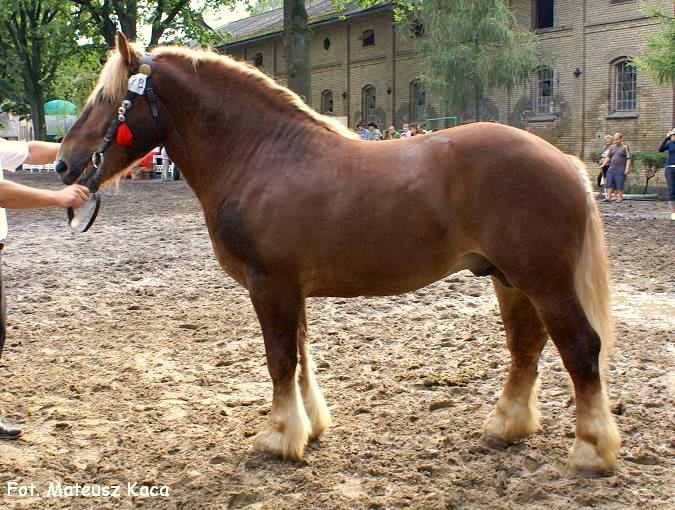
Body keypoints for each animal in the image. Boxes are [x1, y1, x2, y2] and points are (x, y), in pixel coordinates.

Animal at [55, 32, 620, 474]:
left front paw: (279, 436)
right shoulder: (291, 288)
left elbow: (280, 359)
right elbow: (301, 356)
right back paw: (506, 426)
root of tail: (565, 162)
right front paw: (309, 425)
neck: (263, 156)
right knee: (527, 348)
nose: (62, 165)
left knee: (579, 348)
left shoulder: (270, 284)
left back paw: (591, 450)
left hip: (545, 282)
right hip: (509, 280)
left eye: (105, 100)